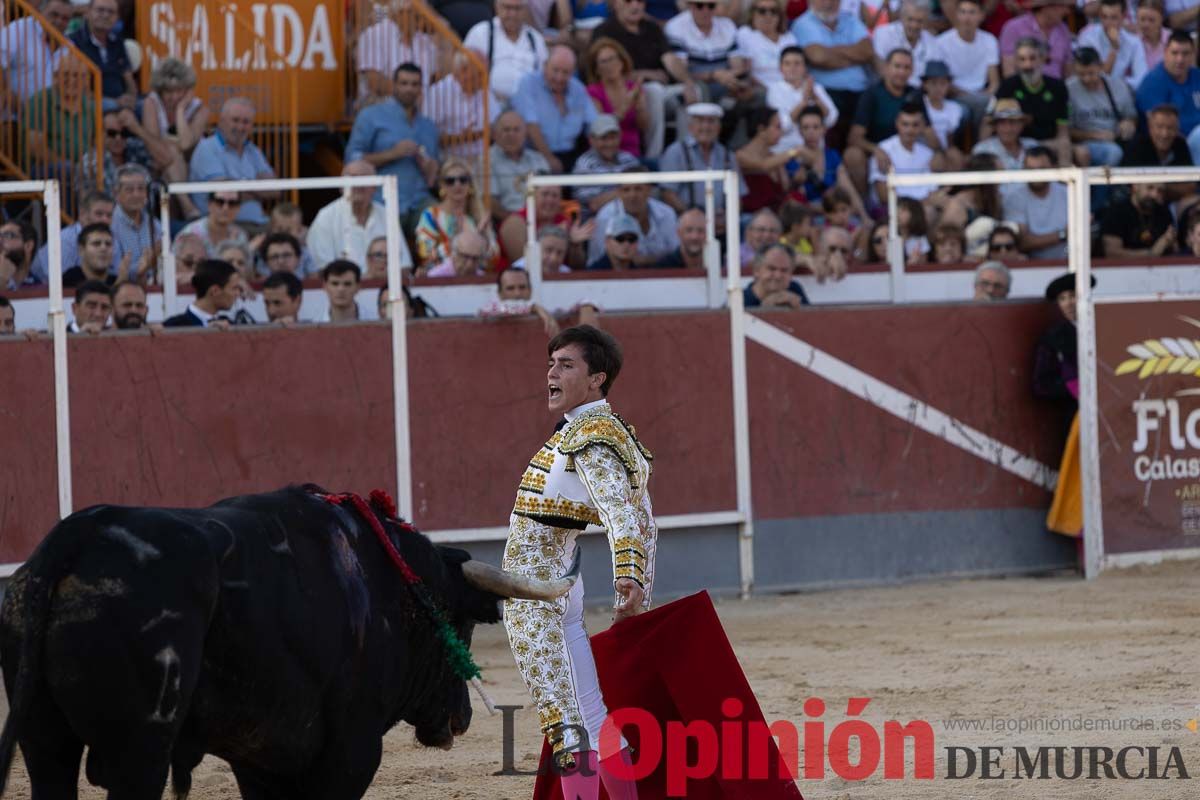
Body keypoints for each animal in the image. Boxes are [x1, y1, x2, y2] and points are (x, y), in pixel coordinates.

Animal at [0, 484, 576, 796]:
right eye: (461, 624)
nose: (461, 718)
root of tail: (74, 538)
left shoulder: (259, 756)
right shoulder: (352, 747)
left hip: (43, 741)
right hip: (138, 750)